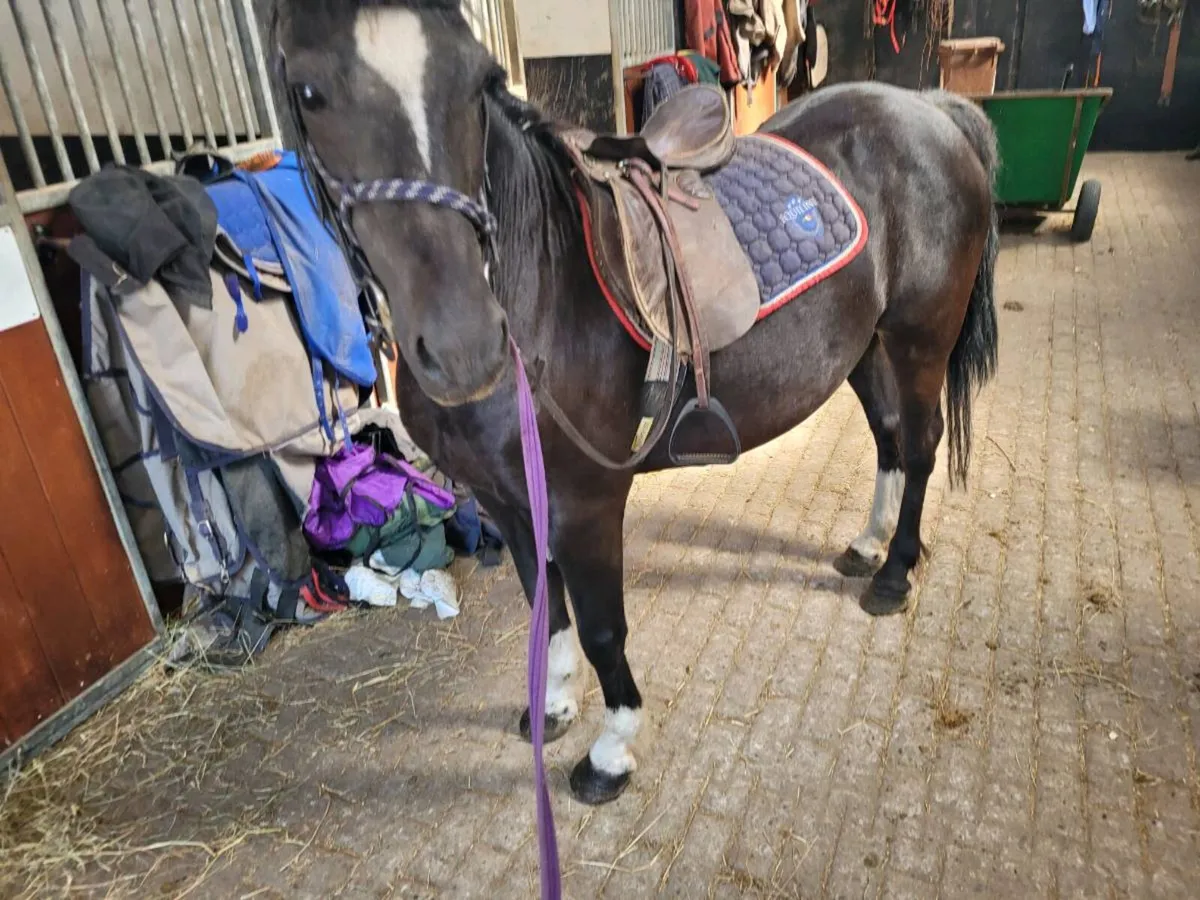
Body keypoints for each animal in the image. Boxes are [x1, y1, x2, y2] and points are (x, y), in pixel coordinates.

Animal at [271, 0, 999, 806]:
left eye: (478, 82)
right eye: (308, 93)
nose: (463, 346)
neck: (543, 292)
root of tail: (930, 110)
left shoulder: (586, 505)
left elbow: (600, 629)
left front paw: (611, 752)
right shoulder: (509, 503)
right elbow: (545, 608)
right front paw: (552, 707)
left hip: (918, 342)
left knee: (923, 445)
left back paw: (894, 574)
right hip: (866, 348)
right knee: (890, 439)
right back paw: (867, 545)